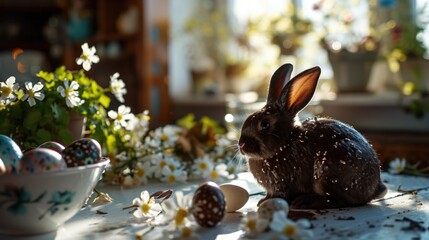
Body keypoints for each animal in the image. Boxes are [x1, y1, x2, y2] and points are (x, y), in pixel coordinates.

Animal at [239, 63, 386, 208]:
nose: (241, 145)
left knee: (340, 200)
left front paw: (267, 201)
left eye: (265, 124)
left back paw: (306, 201)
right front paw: (263, 200)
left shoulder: (281, 184)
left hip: (330, 173)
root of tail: (374, 189)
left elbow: (280, 194)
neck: (285, 142)